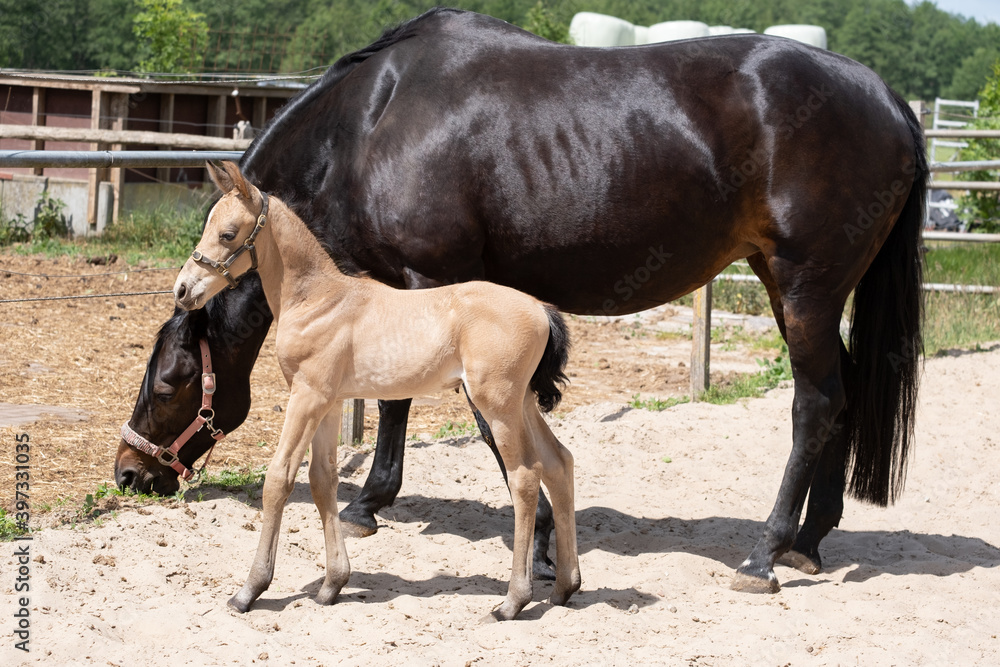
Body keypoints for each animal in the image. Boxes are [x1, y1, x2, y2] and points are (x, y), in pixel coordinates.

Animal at [172, 160, 579, 620]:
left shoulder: (306, 396)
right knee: (559, 463)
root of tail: (542, 309)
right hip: (523, 403)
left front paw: (250, 590)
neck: (318, 300)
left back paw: (513, 601)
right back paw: (565, 587)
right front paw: (332, 584)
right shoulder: (329, 402)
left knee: (525, 477)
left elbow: (278, 479)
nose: (183, 290)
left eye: (228, 233)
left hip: (499, 406)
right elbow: (322, 479)